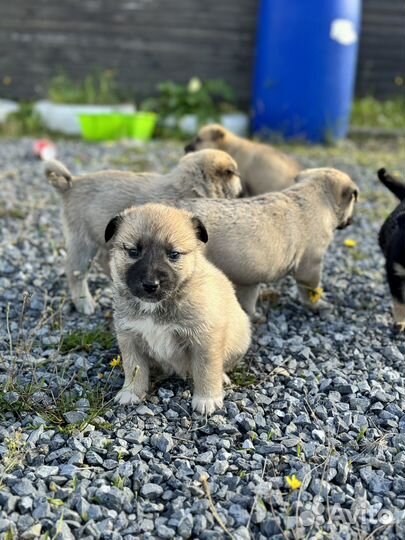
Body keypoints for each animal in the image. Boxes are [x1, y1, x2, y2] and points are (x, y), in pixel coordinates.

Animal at [105, 202, 251, 414]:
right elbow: (134, 368)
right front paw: (131, 392)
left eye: (173, 255)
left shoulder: (205, 339)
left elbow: (206, 369)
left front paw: (207, 398)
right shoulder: (129, 337)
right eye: (133, 252)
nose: (151, 285)